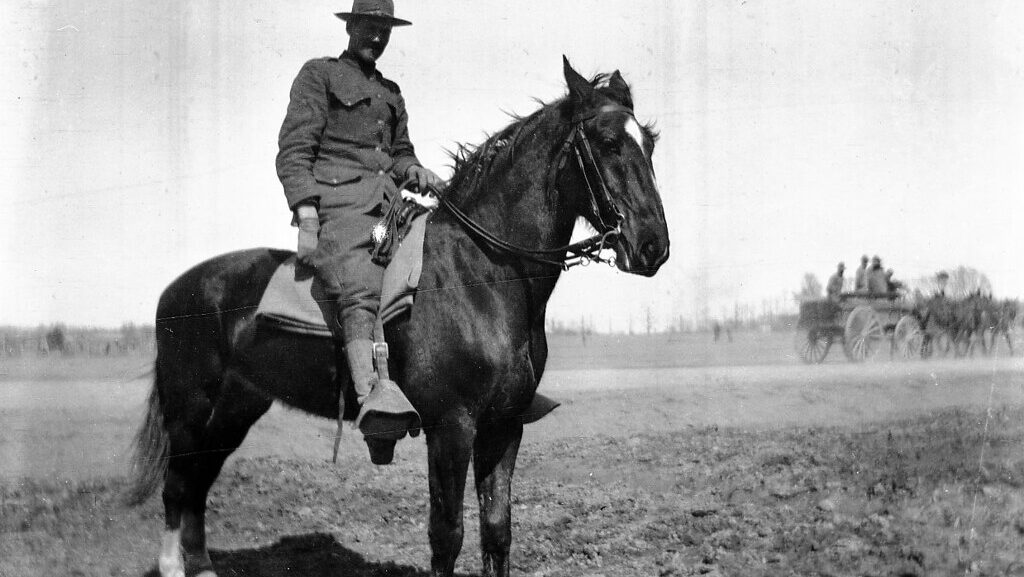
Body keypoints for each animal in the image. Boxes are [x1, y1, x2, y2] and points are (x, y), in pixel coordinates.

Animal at [127, 57, 670, 577]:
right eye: (607, 142)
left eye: (651, 143)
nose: (652, 246)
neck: (482, 273)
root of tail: (176, 290)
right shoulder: (451, 427)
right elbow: (447, 535)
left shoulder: (505, 426)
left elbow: (497, 530)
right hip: (191, 409)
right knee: (177, 487)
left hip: (235, 410)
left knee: (198, 485)